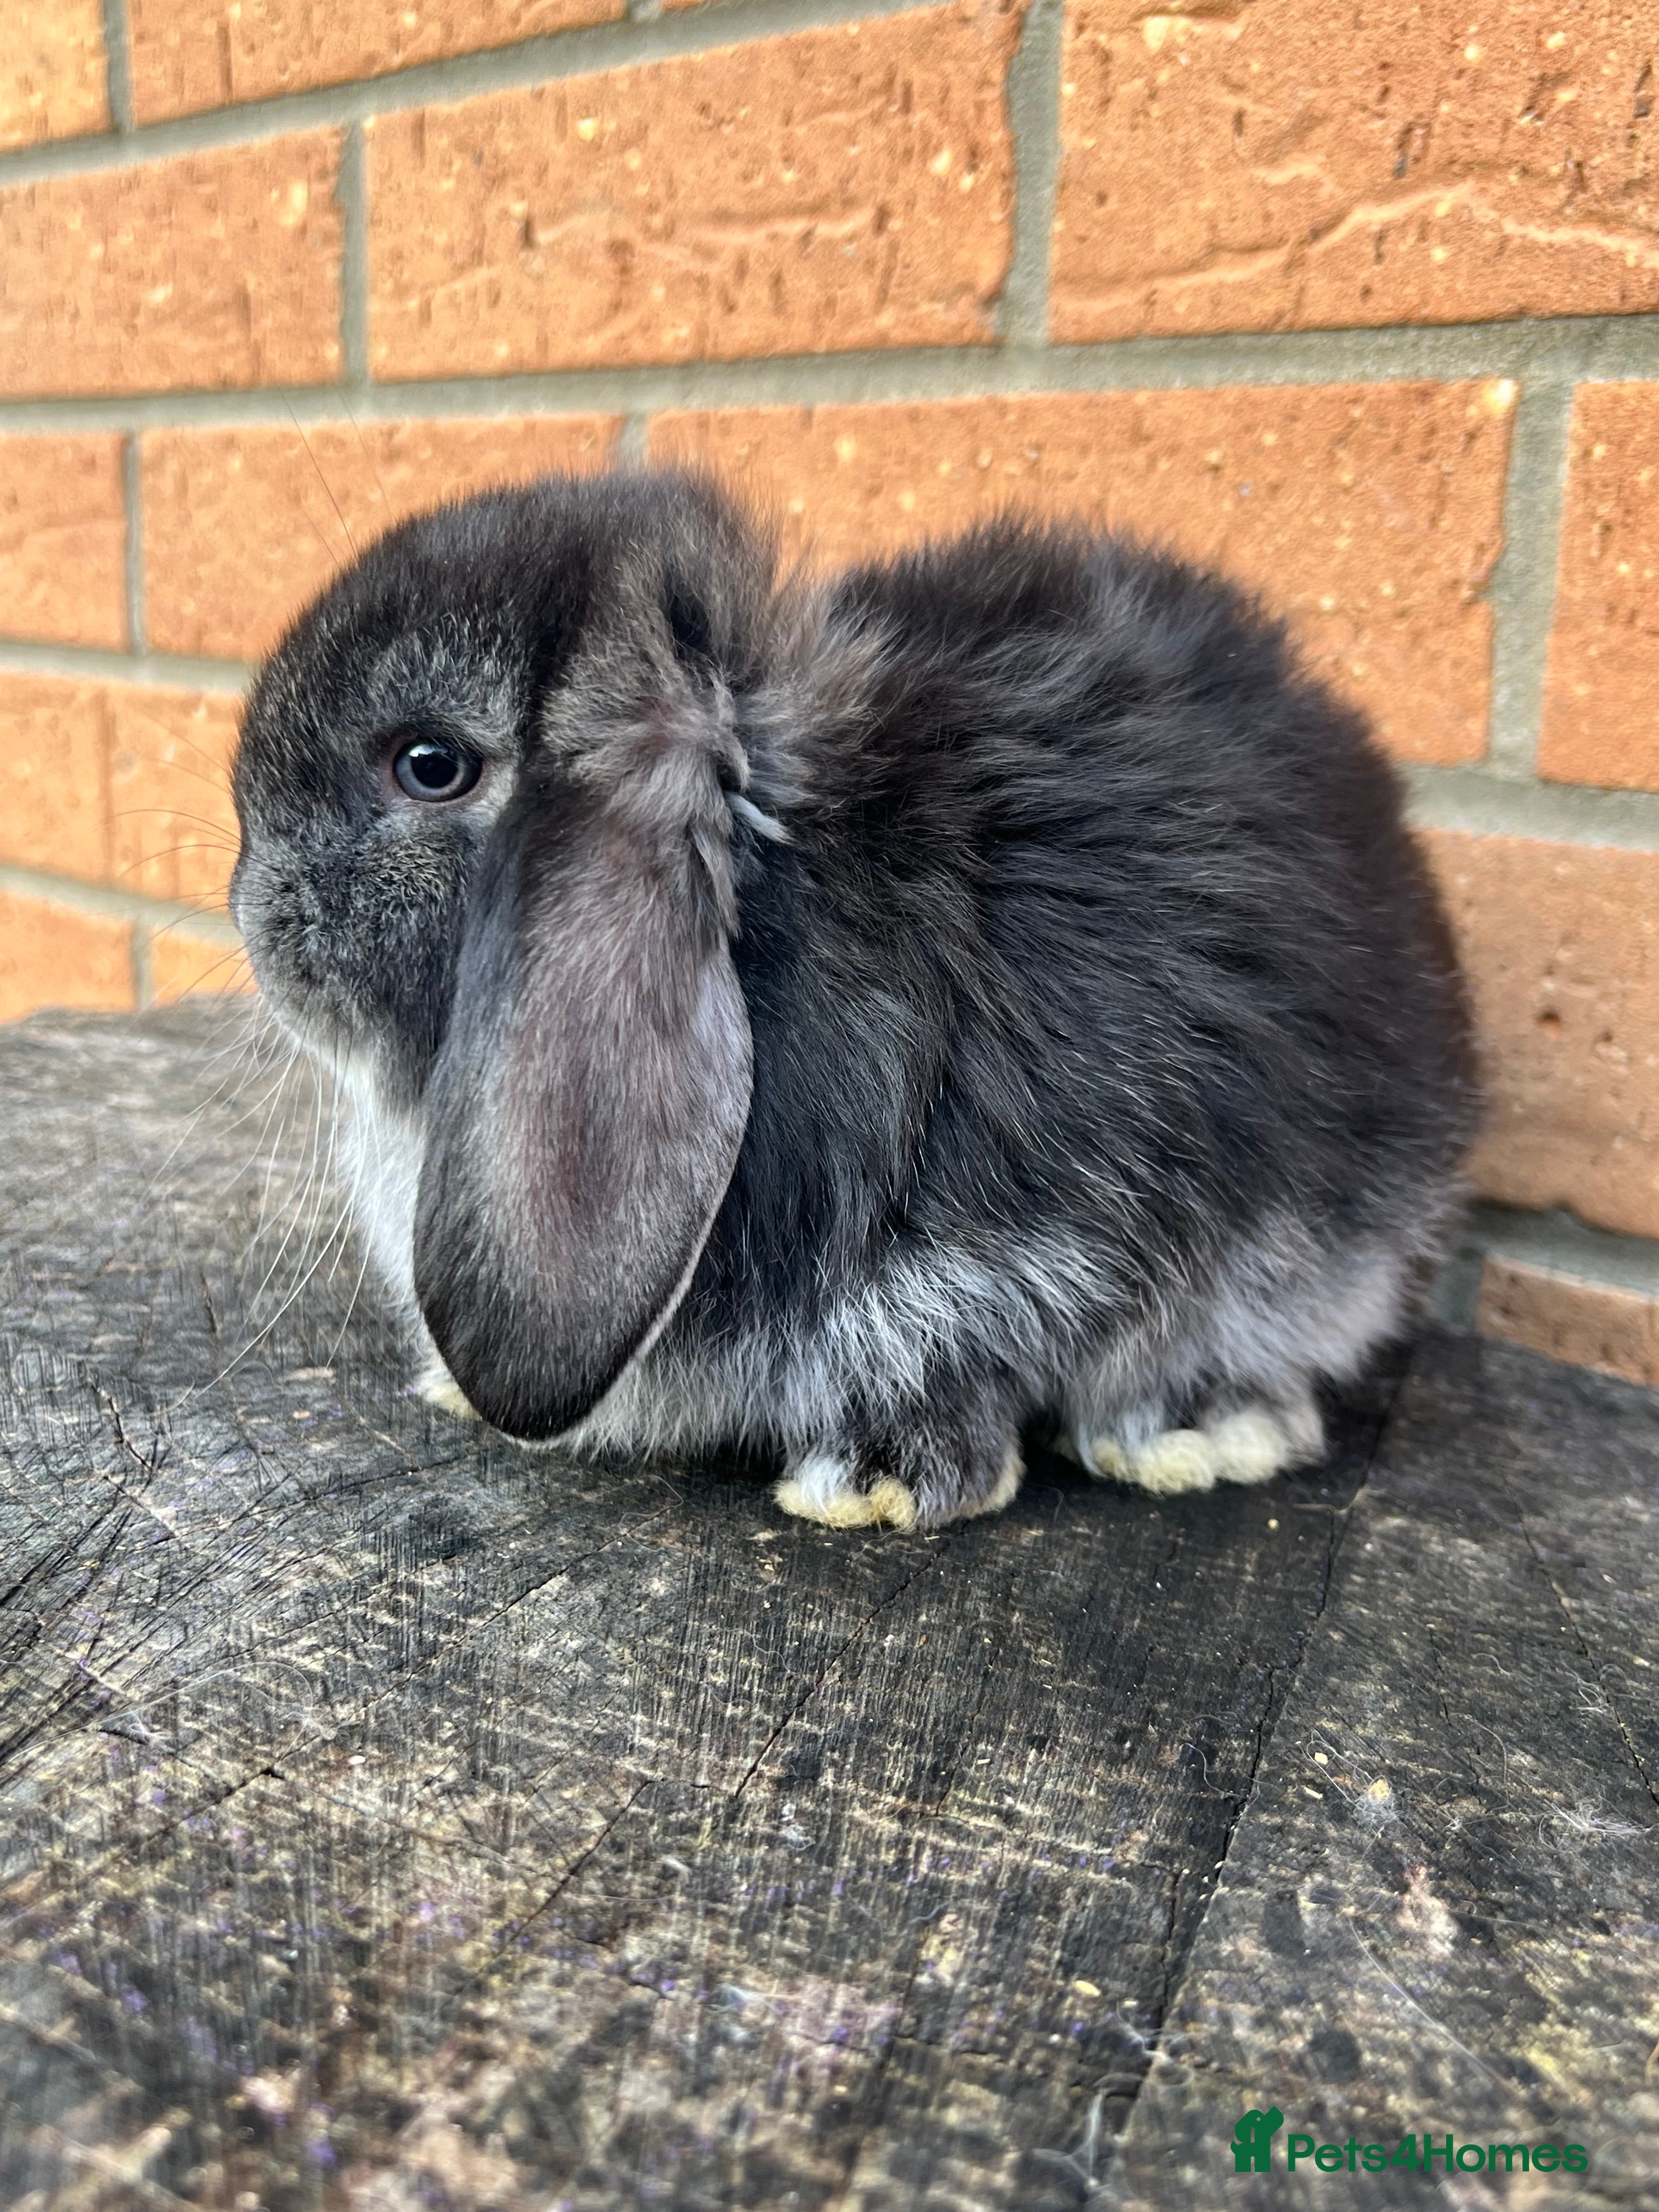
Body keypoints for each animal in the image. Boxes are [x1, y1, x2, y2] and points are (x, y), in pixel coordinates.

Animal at [230, 466, 1478, 1532]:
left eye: (430, 765)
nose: (248, 906)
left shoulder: (1039, 1240)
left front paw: (873, 1484)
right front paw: (448, 1387)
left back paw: (1198, 1436)